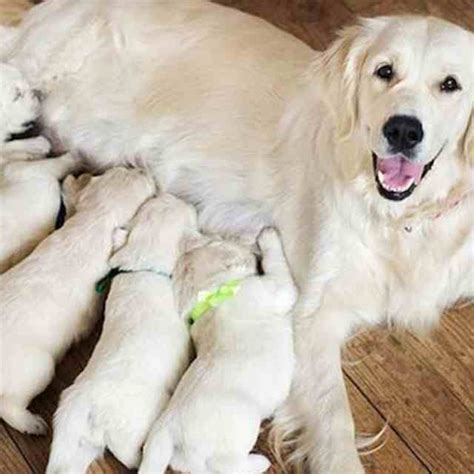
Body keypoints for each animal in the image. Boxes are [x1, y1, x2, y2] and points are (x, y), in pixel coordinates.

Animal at [45, 193, 196, 474]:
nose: (178, 197)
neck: (145, 262)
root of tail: (81, 404)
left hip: (82, 444)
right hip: (131, 427)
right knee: (127, 454)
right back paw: (141, 458)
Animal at [141, 228, 296, 472]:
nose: (253, 254)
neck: (211, 295)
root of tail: (167, 429)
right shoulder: (273, 289)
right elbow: (278, 267)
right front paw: (268, 236)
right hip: (242, 423)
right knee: (226, 464)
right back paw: (260, 462)